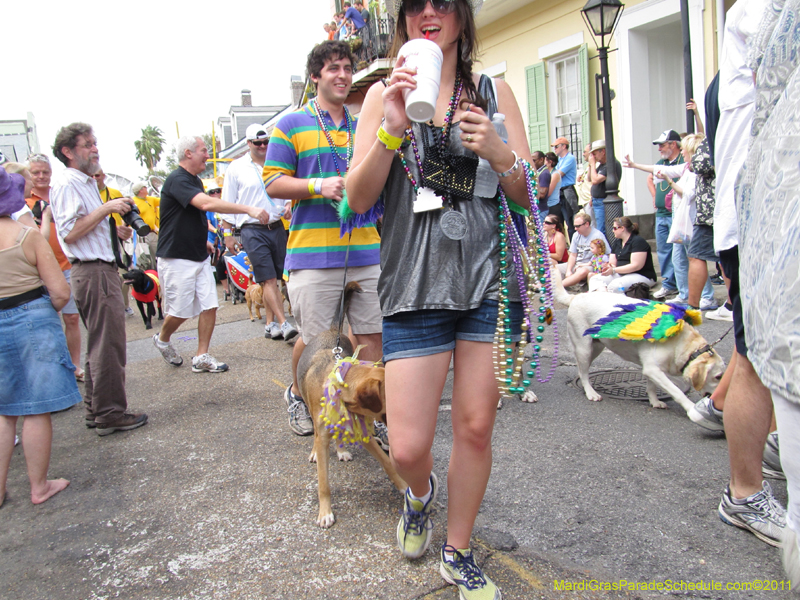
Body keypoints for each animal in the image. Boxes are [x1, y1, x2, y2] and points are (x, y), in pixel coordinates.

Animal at [552, 268, 720, 418]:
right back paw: (591, 392)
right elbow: (676, 391)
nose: (717, 401)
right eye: (718, 377)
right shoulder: (653, 369)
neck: (680, 342)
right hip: (584, 348)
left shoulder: (652, 369)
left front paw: (654, 401)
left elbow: (651, 387)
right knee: (583, 372)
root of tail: (577, 297)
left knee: (583, 369)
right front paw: (691, 408)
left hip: (597, 347)